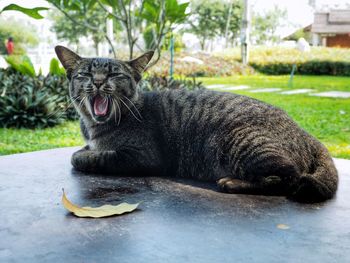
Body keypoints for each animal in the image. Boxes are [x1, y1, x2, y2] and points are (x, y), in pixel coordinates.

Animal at [55, 46, 340, 204]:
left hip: (239, 140)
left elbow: (82, 157)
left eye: (115, 73)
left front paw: (86, 155)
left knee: (289, 177)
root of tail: (306, 134)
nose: (99, 81)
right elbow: (86, 150)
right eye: (86, 74)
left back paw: (233, 183)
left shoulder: (142, 156)